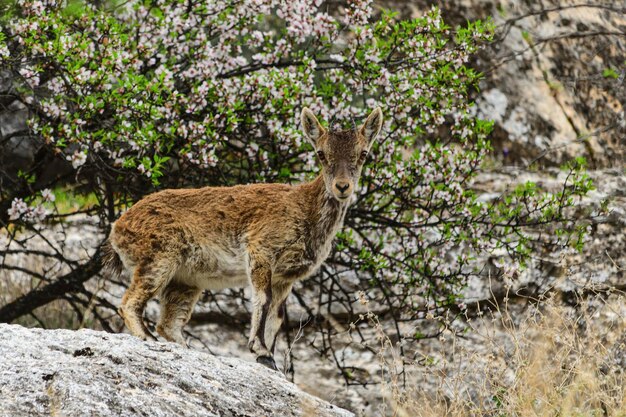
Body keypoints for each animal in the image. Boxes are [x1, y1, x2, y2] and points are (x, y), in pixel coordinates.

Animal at [102, 105, 382, 368]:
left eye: (363, 154)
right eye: (321, 154)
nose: (342, 187)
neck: (306, 208)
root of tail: (117, 229)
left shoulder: (285, 277)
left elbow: (277, 315)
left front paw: (269, 359)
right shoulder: (261, 250)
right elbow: (262, 299)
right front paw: (260, 350)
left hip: (185, 280)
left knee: (169, 323)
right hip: (158, 258)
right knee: (129, 303)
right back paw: (147, 338)